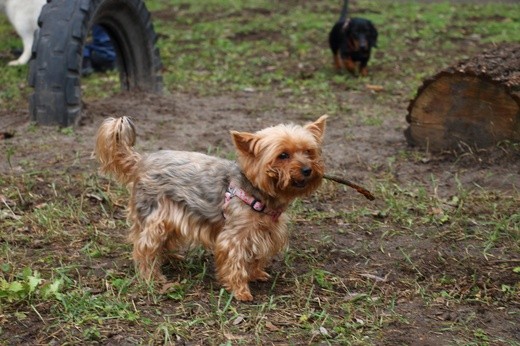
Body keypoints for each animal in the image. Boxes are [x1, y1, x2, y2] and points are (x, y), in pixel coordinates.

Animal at [95, 115, 328, 300]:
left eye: (309, 152)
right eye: (283, 155)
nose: (307, 169)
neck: (259, 192)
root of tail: (141, 161)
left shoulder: (264, 231)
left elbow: (255, 256)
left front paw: (256, 273)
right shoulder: (235, 236)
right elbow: (235, 261)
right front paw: (241, 291)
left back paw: (171, 257)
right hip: (156, 216)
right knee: (144, 247)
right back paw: (152, 276)